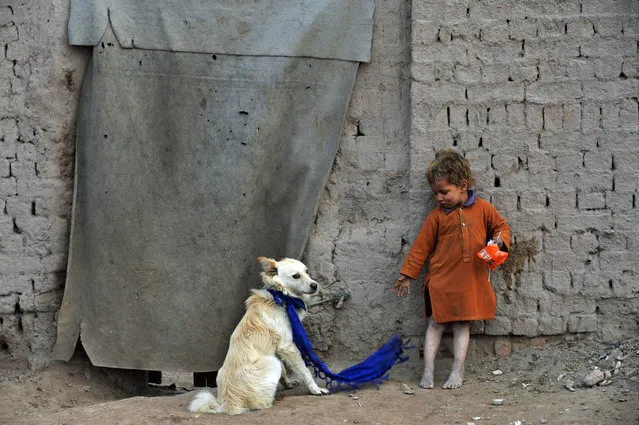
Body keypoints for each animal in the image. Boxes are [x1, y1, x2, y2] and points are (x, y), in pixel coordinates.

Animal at [186, 255, 328, 414]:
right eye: (296, 276)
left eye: (307, 271)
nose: (315, 285)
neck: (281, 297)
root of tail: (228, 404)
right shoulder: (287, 346)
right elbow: (304, 370)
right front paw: (315, 389)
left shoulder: (277, 349)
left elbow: (285, 370)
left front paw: (288, 383)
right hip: (272, 362)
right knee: (260, 404)